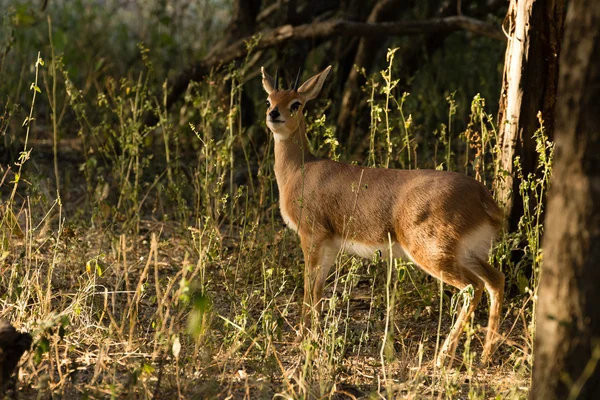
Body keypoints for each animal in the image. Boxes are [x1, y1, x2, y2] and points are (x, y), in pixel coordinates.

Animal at [262, 63, 506, 366]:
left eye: (296, 103)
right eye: (269, 99)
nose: (274, 114)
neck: (300, 171)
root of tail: (484, 198)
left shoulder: (312, 235)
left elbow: (309, 287)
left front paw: (301, 340)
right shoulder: (329, 243)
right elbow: (317, 288)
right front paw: (310, 338)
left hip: (433, 253)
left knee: (472, 287)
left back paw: (441, 358)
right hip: (470, 252)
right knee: (496, 280)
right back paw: (485, 354)